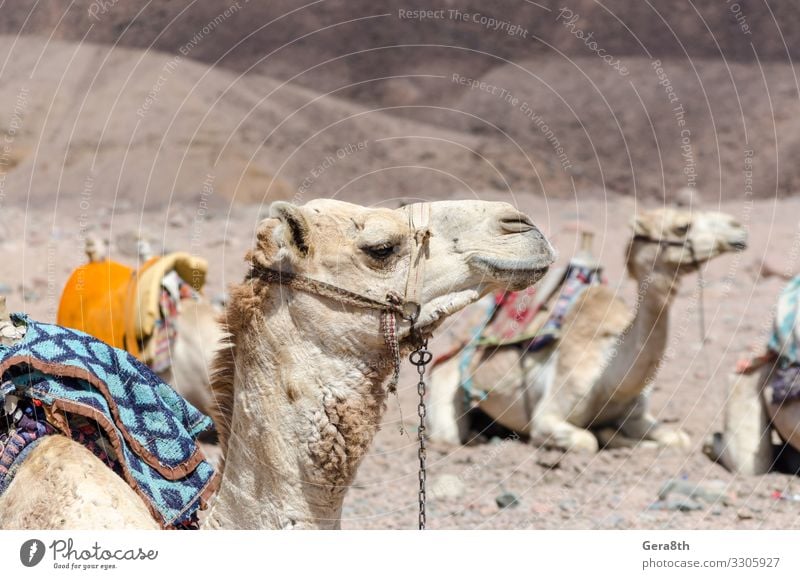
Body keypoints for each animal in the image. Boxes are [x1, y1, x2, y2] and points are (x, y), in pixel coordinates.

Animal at [428, 208, 748, 454]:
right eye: (682, 226)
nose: (738, 229)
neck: (608, 378)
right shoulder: (548, 416)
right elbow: (588, 441)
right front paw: (610, 437)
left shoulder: (638, 414)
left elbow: (678, 438)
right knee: (447, 431)